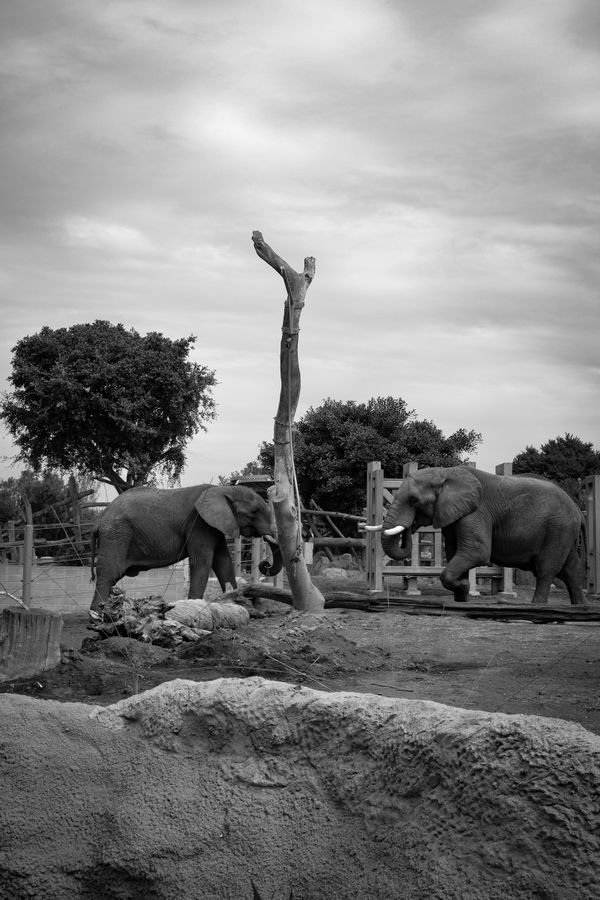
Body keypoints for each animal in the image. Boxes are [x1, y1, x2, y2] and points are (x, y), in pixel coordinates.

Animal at [89, 484, 282, 618]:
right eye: (254, 511)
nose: (264, 564)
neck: (224, 489)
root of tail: (98, 521)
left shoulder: (215, 526)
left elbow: (223, 562)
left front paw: (239, 605)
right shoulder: (199, 524)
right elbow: (202, 562)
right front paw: (194, 607)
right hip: (115, 535)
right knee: (108, 575)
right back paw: (98, 617)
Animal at [368, 466, 586, 606]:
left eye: (414, 500)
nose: (410, 527)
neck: (445, 473)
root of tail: (577, 508)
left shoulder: (476, 512)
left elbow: (475, 552)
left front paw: (465, 589)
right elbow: (455, 552)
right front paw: (462, 596)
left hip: (558, 529)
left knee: (546, 570)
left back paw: (537, 605)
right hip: (565, 532)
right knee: (570, 570)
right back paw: (580, 606)